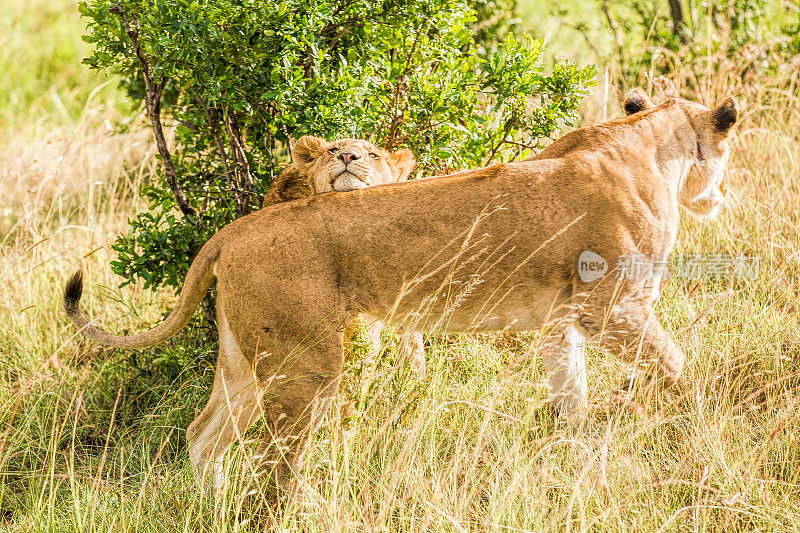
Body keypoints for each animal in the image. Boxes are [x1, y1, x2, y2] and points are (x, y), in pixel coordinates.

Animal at [62, 92, 736, 494]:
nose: (722, 195)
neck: (644, 141)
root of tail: (236, 226)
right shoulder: (614, 309)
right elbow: (679, 368)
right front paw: (701, 434)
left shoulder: (560, 323)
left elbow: (570, 399)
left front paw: (570, 460)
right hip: (304, 366)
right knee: (274, 465)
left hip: (242, 363)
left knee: (204, 439)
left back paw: (209, 505)